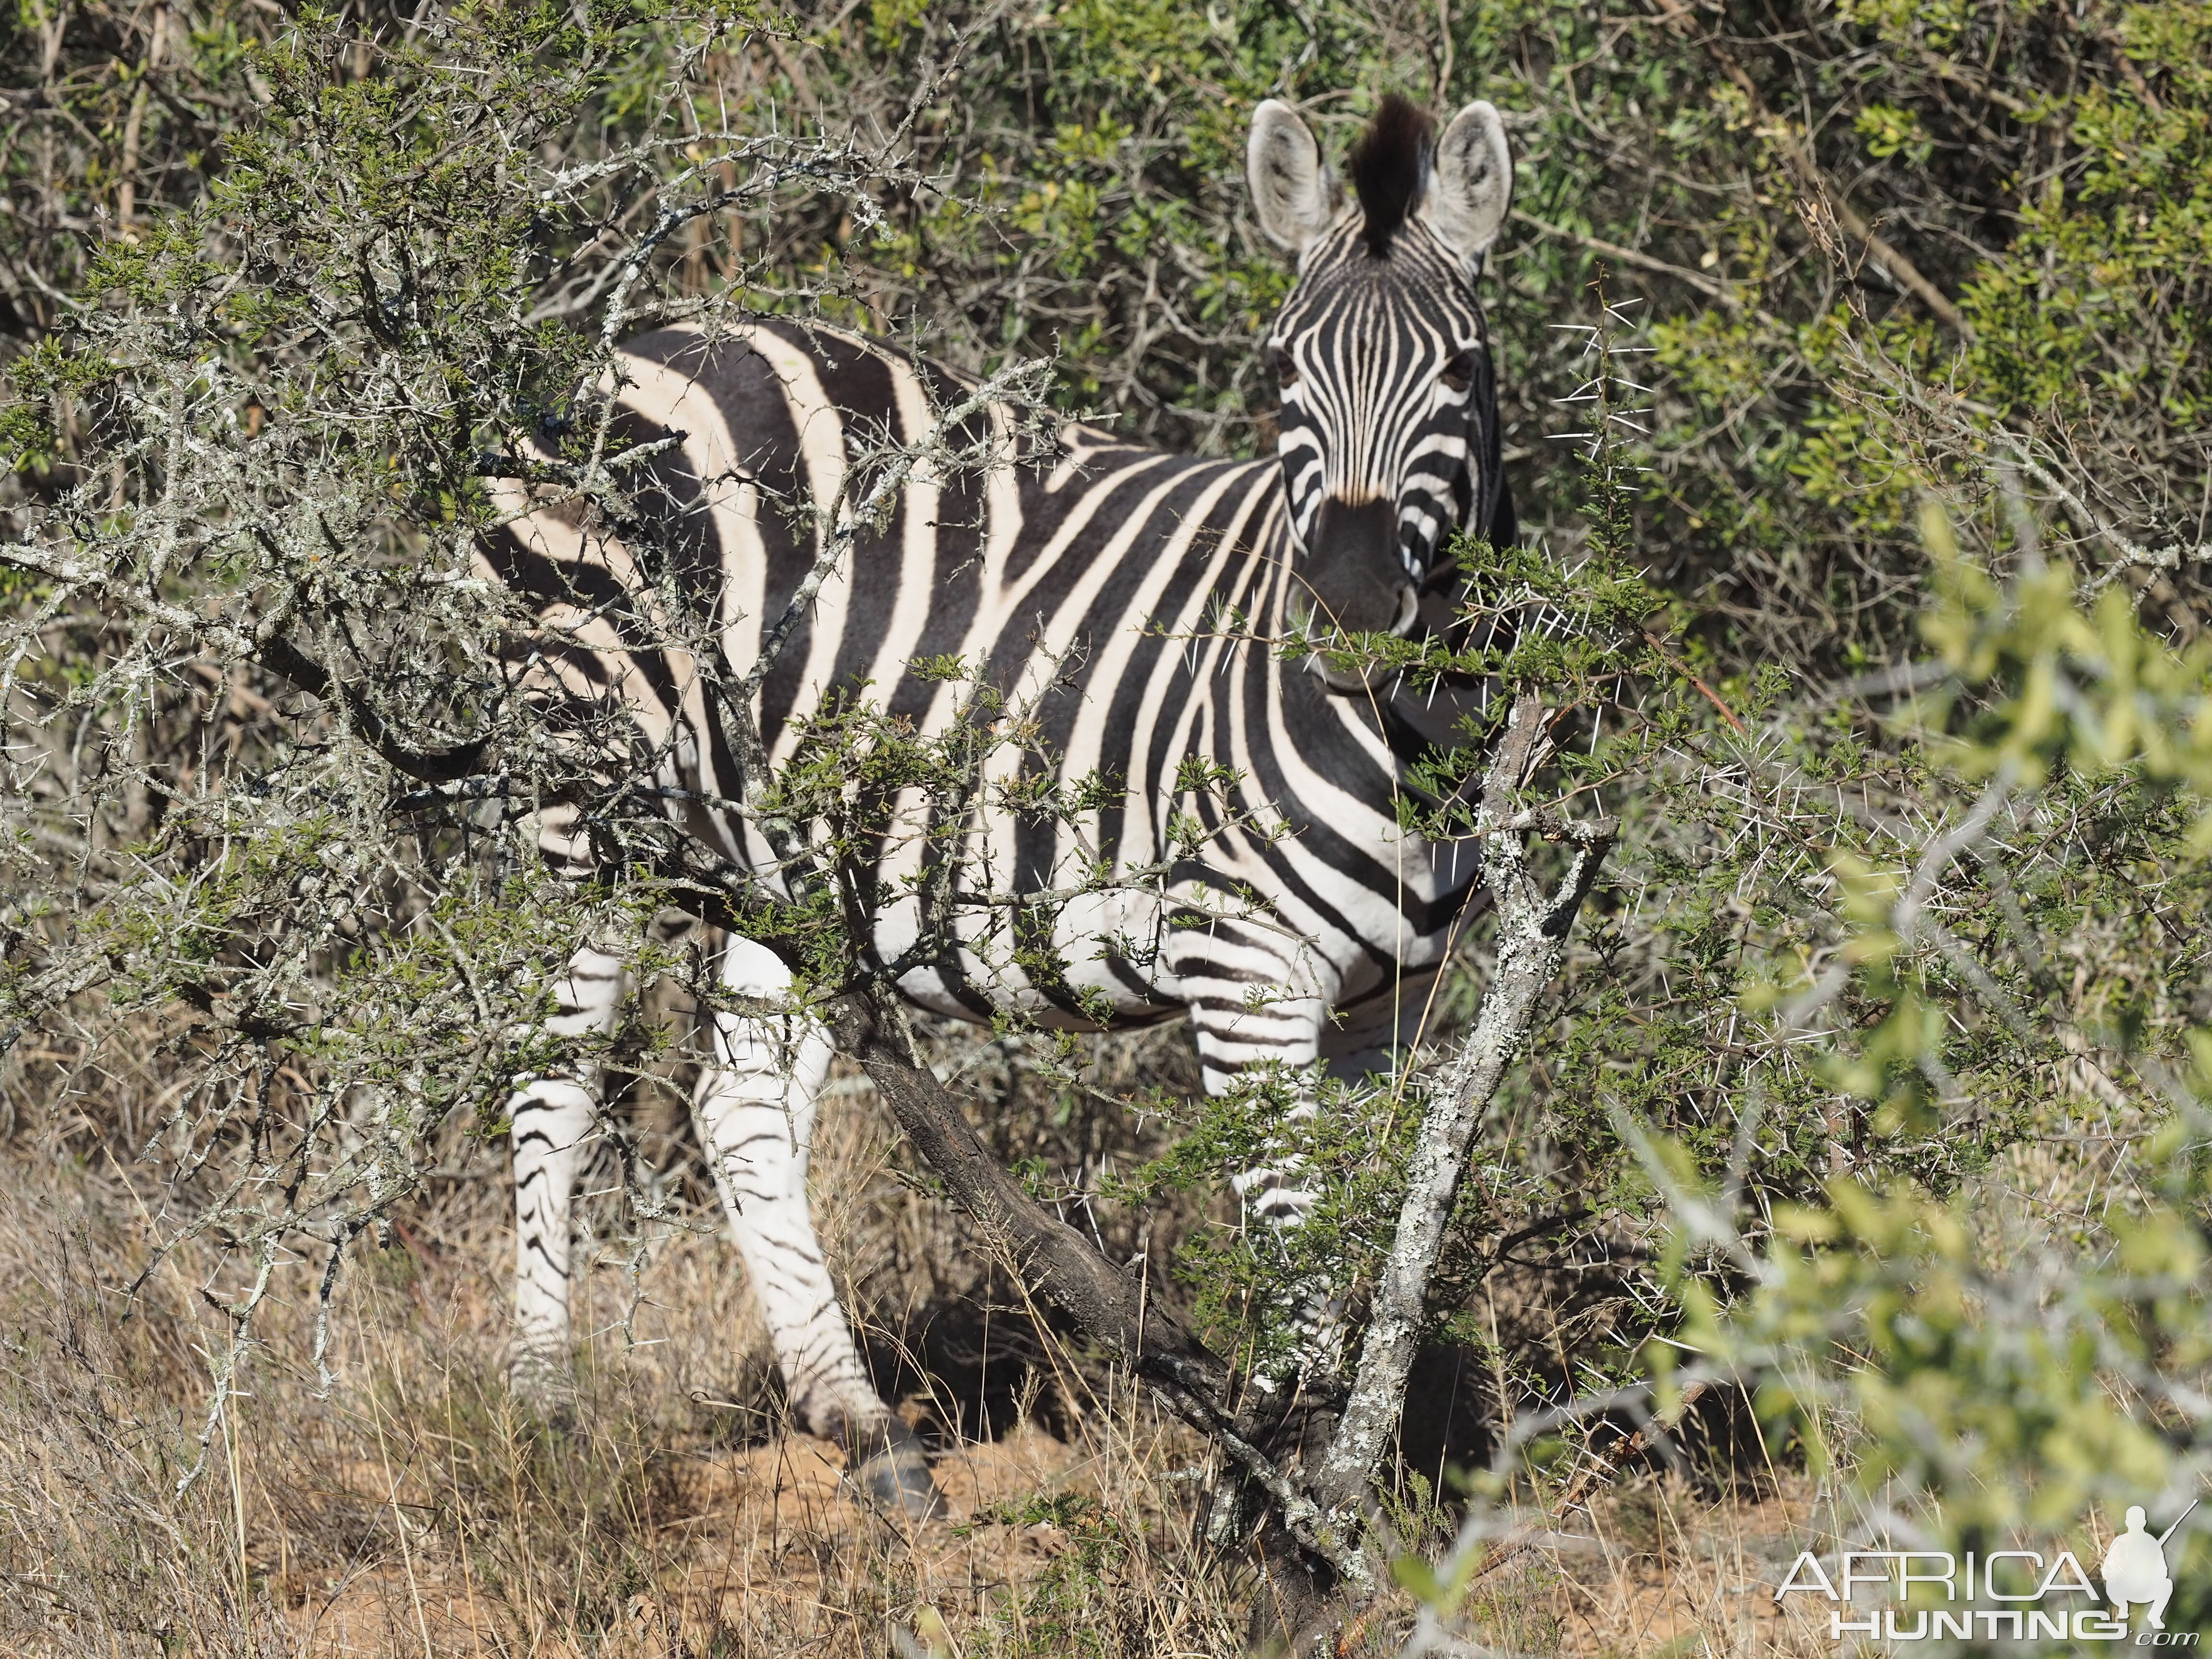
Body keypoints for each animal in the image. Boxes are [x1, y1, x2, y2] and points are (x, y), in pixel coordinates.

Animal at [484, 90, 1522, 1522]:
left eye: (1463, 370)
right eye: (1278, 373)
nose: (1354, 609)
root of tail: (652, 342)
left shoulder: (1390, 1004)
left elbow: (1363, 1250)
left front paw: (1355, 1493)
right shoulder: (1241, 966)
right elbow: (1296, 1257)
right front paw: (1285, 1513)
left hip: (786, 848)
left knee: (739, 1096)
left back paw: (867, 1427)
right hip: (585, 796)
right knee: (554, 1063)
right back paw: (545, 1408)